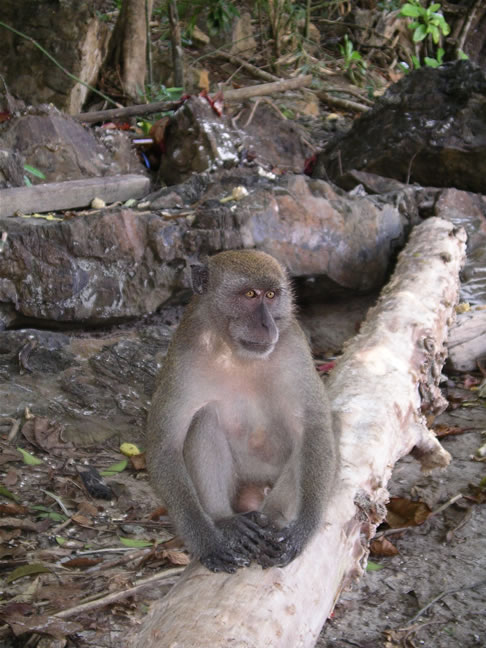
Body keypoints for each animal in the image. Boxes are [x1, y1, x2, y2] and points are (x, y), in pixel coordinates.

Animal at [146, 250, 338, 573]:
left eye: (271, 295)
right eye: (250, 295)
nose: (267, 325)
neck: (233, 351)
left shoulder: (294, 345)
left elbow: (314, 428)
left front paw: (303, 530)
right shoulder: (184, 353)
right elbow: (164, 446)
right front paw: (208, 543)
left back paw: (271, 520)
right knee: (204, 419)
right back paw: (228, 521)